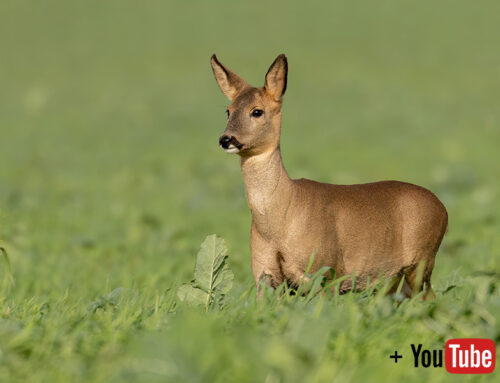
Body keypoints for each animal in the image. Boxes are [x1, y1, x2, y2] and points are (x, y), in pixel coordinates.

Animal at [211, 53, 450, 300]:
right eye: (228, 110)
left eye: (257, 111)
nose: (226, 139)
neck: (281, 220)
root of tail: (443, 208)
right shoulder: (264, 275)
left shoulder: (328, 271)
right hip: (396, 280)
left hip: (422, 262)